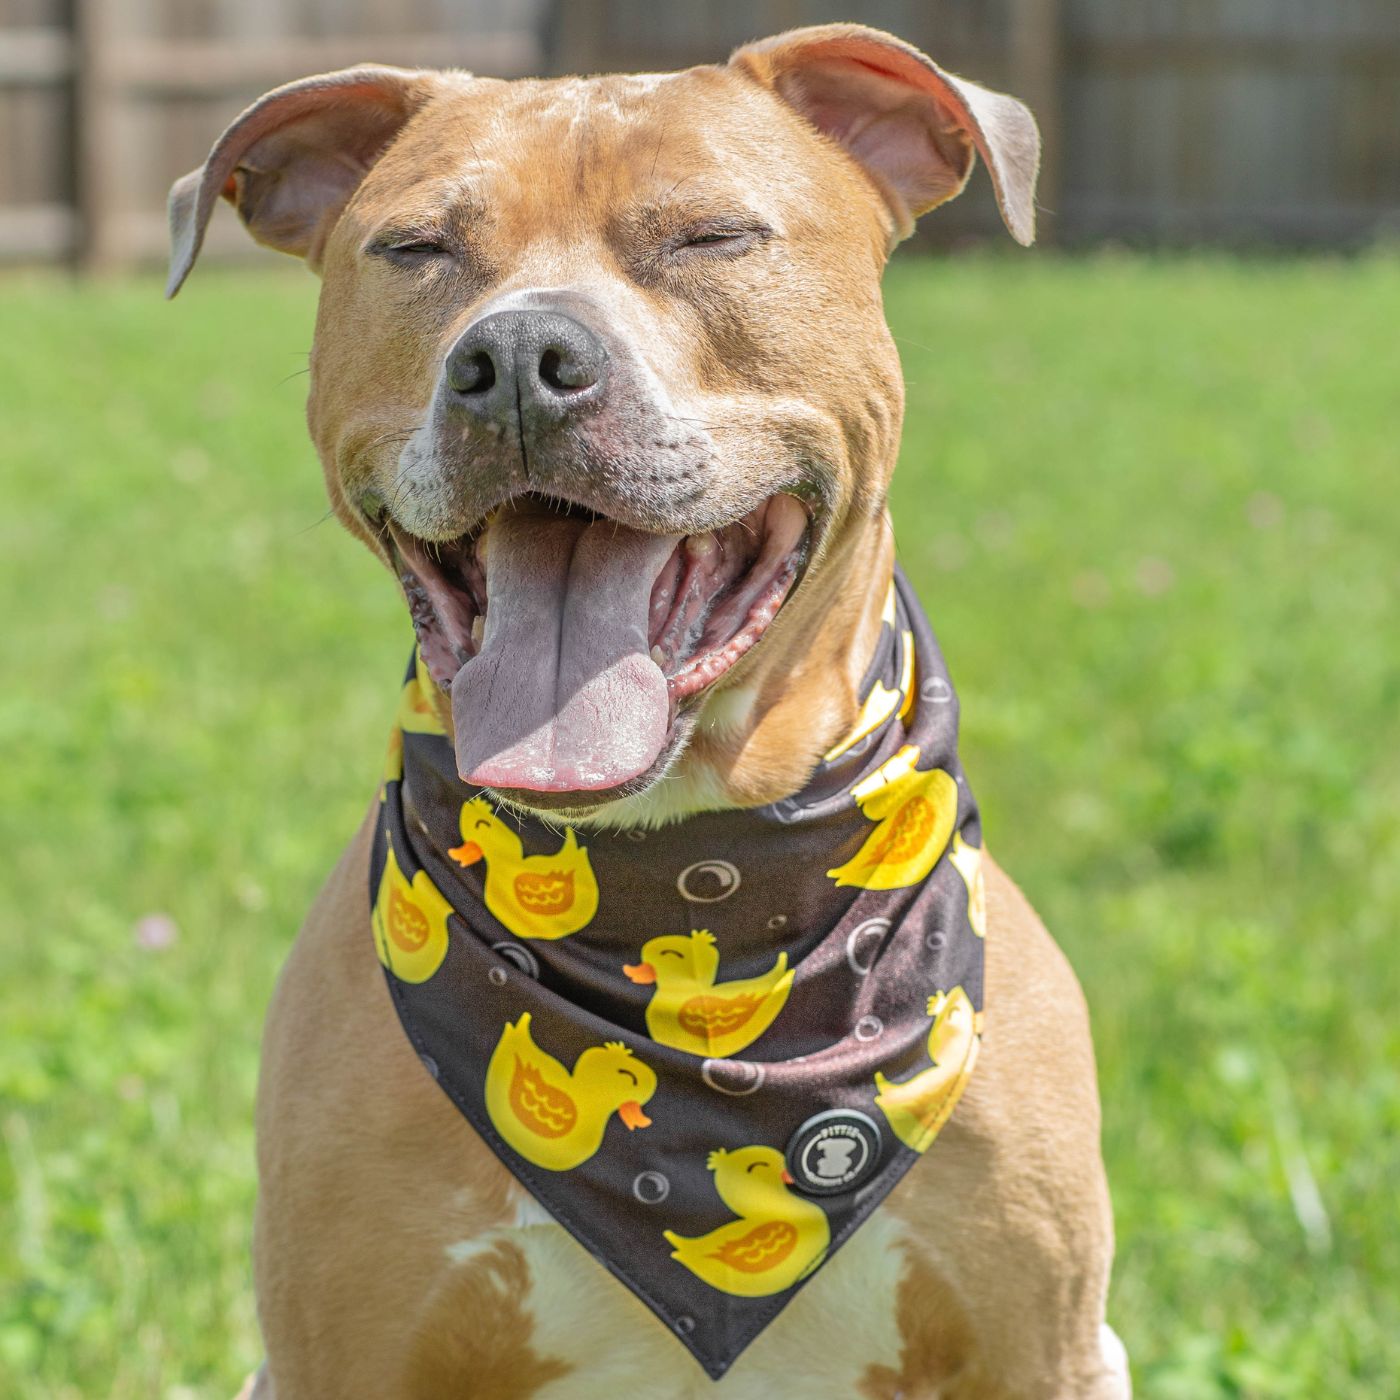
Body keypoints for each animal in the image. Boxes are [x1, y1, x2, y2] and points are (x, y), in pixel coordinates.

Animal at [175, 24, 1131, 1400]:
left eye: (712, 236)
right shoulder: (334, 1354)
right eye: (414, 249)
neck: (689, 879)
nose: (519, 360)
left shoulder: (1045, 1349)